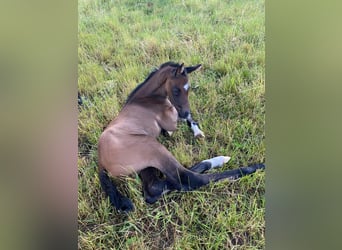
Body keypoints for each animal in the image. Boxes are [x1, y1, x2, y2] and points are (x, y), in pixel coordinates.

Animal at [97, 61, 266, 212]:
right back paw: (248, 165)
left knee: (156, 187)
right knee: (188, 179)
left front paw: (197, 132)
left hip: (146, 165)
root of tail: (101, 161)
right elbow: (178, 119)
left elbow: (188, 119)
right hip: (151, 145)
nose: (185, 111)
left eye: (188, 89)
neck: (144, 99)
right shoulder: (170, 119)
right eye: (176, 90)